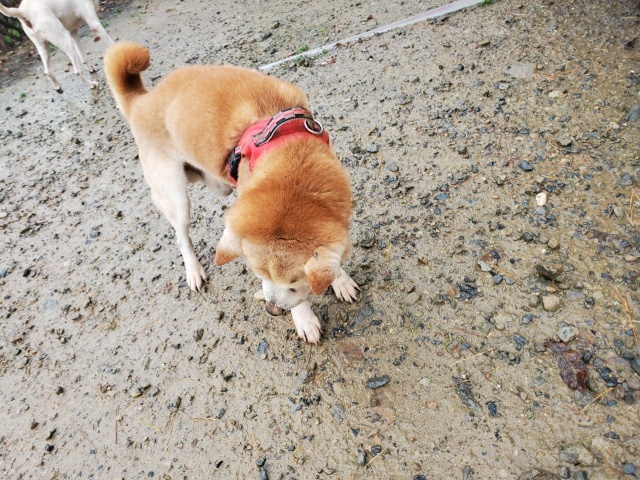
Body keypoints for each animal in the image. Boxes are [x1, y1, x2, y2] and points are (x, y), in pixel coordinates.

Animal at [104, 42, 359, 343]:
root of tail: (141, 101)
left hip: (213, 182)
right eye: (258, 272)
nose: (272, 311)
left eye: (295, 283)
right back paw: (194, 270)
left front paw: (340, 281)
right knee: (181, 236)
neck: (292, 158)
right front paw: (305, 319)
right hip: (174, 194)